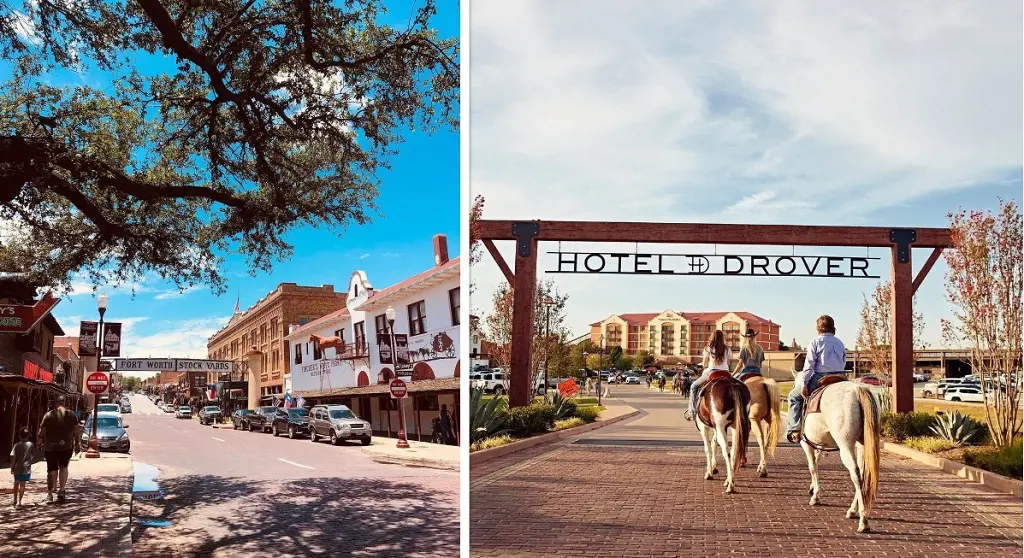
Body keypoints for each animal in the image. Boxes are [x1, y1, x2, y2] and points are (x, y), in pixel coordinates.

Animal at [798, 380, 880, 532]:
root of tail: (857, 389)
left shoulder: (806, 444)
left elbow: (812, 467)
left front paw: (815, 496)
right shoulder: (819, 445)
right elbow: (816, 462)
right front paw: (813, 489)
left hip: (845, 445)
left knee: (855, 474)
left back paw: (863, 520)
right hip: (862, 445)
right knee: (862, 473)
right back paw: (853, 510)